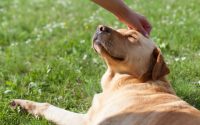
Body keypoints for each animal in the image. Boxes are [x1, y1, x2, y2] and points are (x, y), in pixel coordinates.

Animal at [10, 24, 200, 124]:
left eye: (131, 37)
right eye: (119, 28)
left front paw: (24, 105)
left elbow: (49, 107)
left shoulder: (88, 120)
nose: (100, 27)